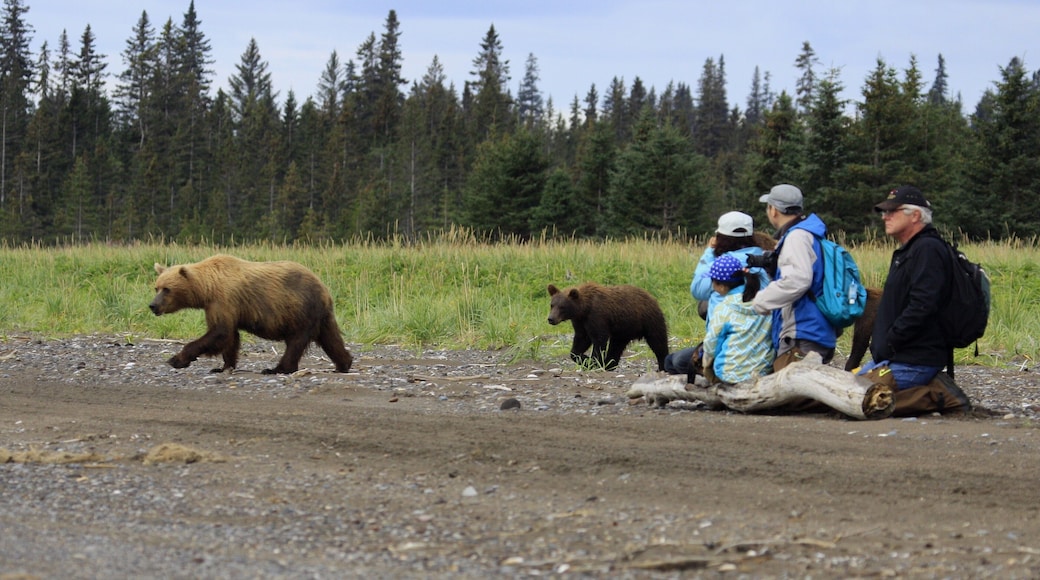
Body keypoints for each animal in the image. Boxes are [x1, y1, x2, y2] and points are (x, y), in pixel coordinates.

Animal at [149, 254, 353, 374]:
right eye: (156, 287)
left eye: (167, 289)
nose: (153, 305)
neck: (208, 288)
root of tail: (325, 290)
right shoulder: (221, 306)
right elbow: (230, 337)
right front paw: (223, 366)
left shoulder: (223, 299)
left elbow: (219, 332)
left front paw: (176, 359)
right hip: (319, 316)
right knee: (330, 339)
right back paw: (344, 363)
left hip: (299, 310)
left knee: (295, 342)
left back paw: (276, 369)